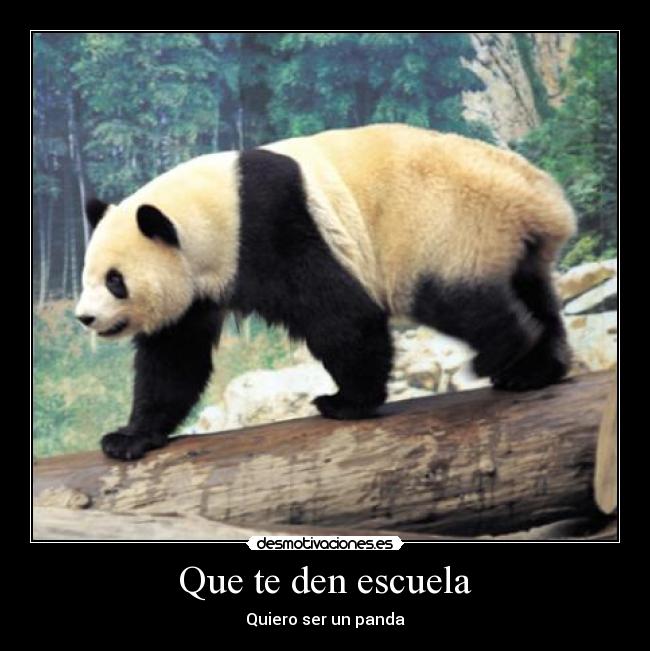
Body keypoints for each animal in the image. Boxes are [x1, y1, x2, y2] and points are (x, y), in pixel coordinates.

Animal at [75, 123, 576, 460]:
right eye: (87, 277)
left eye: (115, 280)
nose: (86, 318)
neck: (211, 208)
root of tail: (546, 203)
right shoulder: (197, 287)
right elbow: (174, 358)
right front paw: (129, 436)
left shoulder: (270, 224)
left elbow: (339, 314)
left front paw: (346, 402)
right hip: (510, 243)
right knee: (534, 296)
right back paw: (535, 369)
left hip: (447, 226)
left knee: (460, 300)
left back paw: (504, 354)